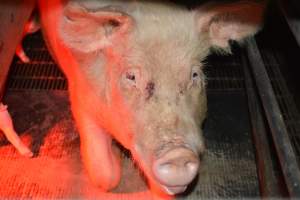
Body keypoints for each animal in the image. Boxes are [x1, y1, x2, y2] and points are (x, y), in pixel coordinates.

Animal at [34, 0, 264, 197]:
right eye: (131, 76)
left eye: (194, 74)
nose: (178, 154)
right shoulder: (79, 97)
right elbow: (104, 174)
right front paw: (115, 160)